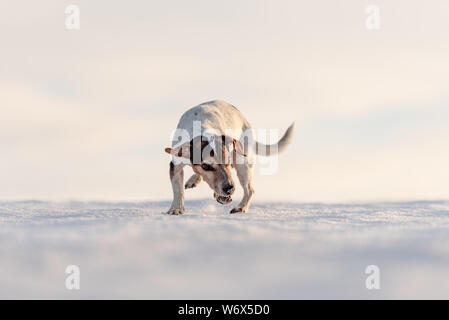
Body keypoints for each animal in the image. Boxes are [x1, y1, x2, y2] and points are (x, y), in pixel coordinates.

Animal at [164, 100, 294, 215]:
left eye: (228, 161)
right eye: (205, 166)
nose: (229, 188)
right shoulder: (175, 165)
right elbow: (178, 190)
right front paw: (176, 208)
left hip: (243, 165)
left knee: (250, 190)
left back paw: (240, 207)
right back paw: (195, 180)